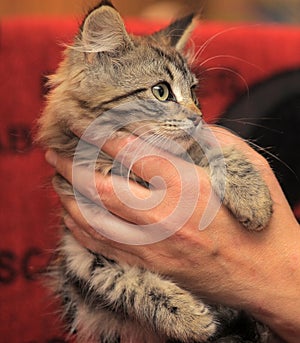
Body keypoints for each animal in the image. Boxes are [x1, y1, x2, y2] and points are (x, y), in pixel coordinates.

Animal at [37, 1, 274, 342]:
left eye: (195, 93)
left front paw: (254, 201)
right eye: (161, 91)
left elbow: (220, 150)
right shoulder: (83, 252)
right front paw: (188, 319)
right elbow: (132, 285)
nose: (198, 117)